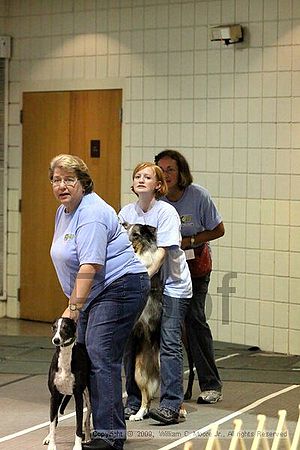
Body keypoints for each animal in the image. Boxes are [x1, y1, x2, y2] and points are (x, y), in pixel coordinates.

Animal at [42, 316, 91, 450]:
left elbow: (78, 425)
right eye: (54, 327)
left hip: (88, 396)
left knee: (87, 418)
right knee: (55, 419)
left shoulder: (78, 396)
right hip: (59, 397)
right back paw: (48, 437)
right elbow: (52, 423)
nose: (56, 340)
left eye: (66, 327)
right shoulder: (54, 396)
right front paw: (52, 444)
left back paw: (88, 437)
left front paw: (78, 446)